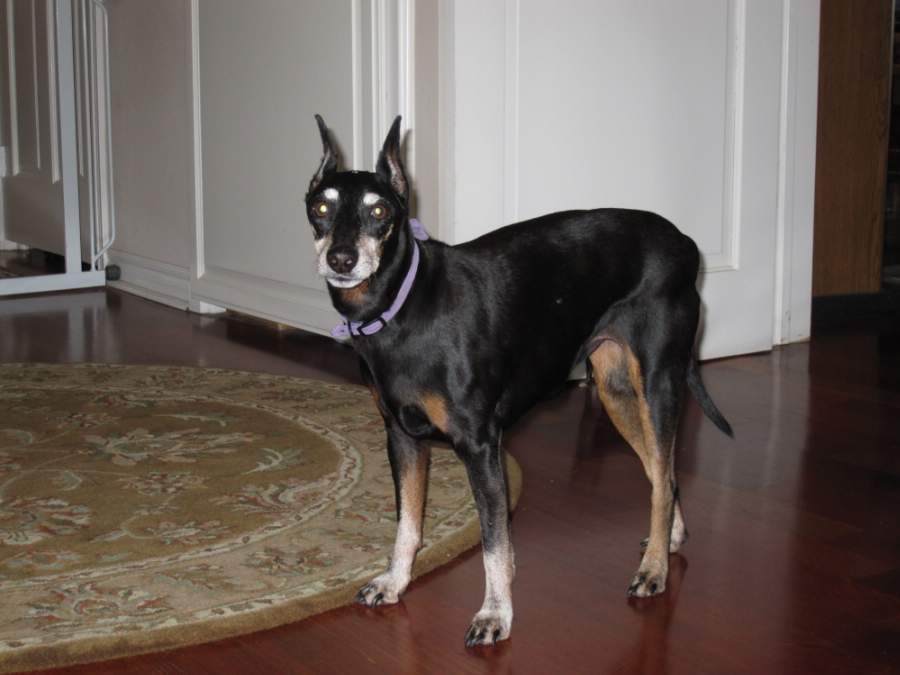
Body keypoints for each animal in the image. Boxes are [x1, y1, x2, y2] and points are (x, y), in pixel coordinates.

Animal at [302, 116, 732, 648]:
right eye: (320, 208)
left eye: (379, 210)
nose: (341, 259)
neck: (402, 309)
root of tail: (685, 243)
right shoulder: (401, 437)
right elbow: (408, 523)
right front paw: (396, 582)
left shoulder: (481, 444)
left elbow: (493, 542)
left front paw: (494, 613)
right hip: (615, 390)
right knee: (663, 473)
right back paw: (666, 540)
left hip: (657, 384)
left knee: (662, 470)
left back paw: (654, 569)